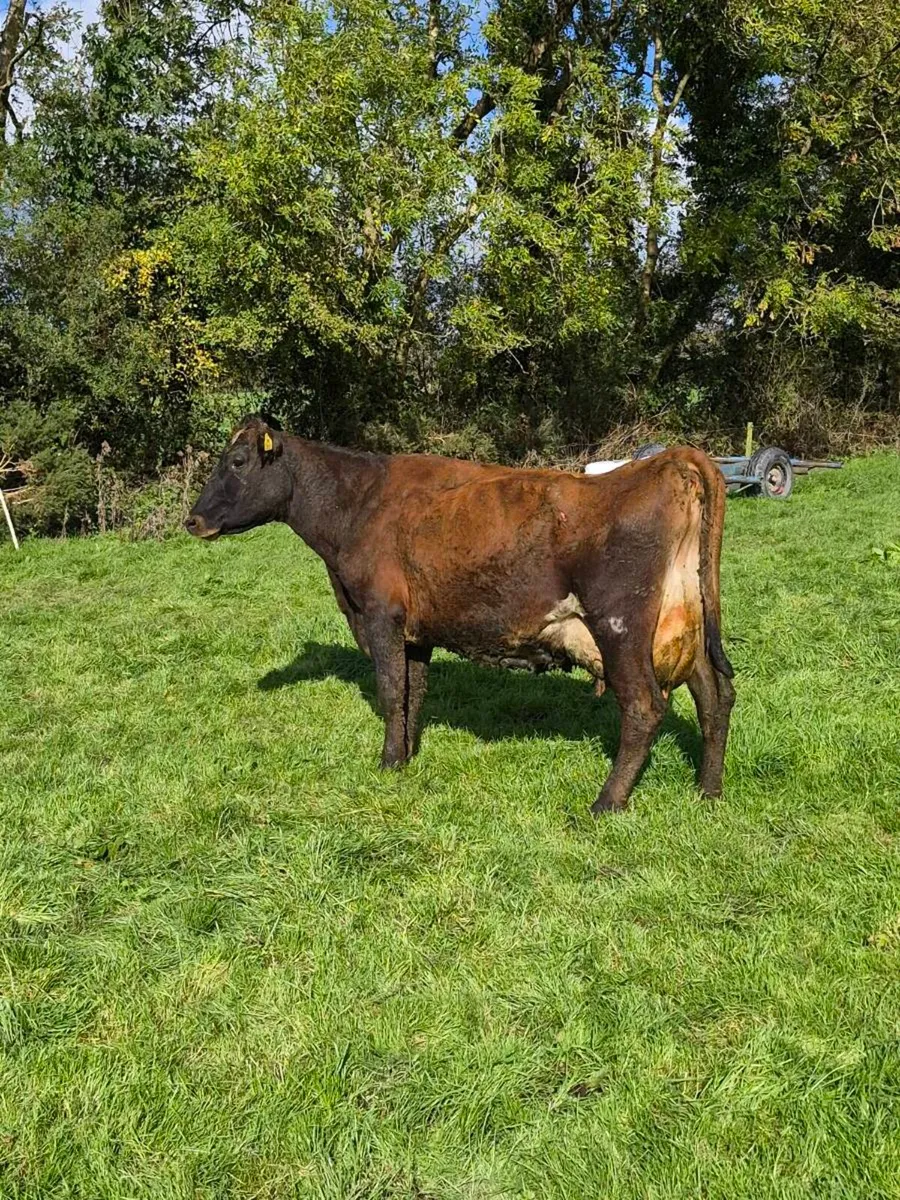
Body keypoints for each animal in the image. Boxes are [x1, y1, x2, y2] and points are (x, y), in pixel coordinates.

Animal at [185, 415, 735, 813]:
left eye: (237, 461)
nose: (192, 520)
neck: (359, 502)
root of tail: (667, 461)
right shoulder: (416, 631)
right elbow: (413, 693)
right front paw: (407, 755)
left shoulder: (380, 615)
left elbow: (390, 690)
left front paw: (388, 763)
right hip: (685, 622)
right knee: (716, 695)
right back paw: (707, 791)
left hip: (621, 626)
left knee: (644, 706)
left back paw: (608, 802)